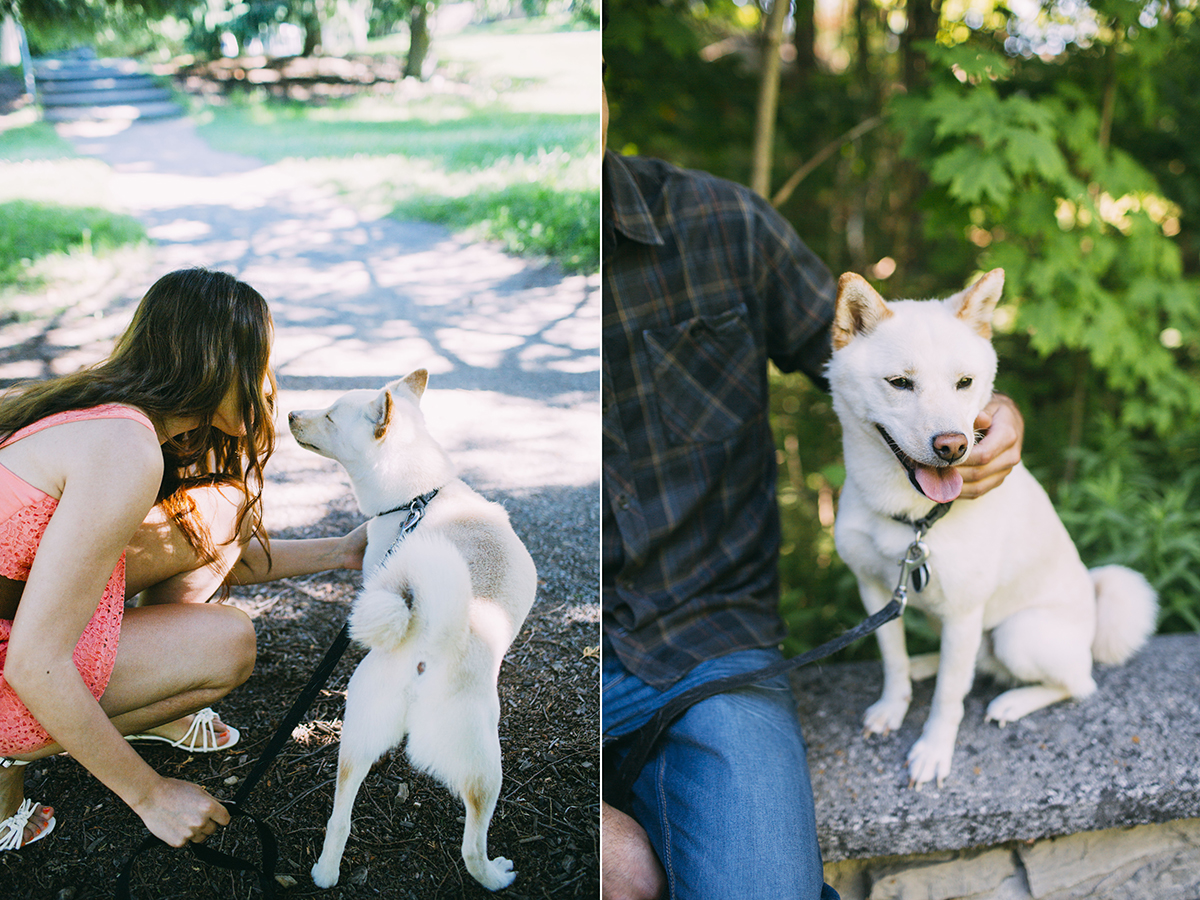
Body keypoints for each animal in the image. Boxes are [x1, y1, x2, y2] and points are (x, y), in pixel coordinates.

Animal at [285, 369, 535, 892]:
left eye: (331, 415)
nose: (291, 413)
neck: (416, 499)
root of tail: (427, 645)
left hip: (356, 736)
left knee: (340, 816)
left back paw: (326, 871)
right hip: (485, 769)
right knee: (471, 847)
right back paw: (496, 876)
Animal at [830, 267, 1156, 787]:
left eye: (965, 382)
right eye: (900, 383)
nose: (952, 446)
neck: (913, 518)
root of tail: (1091, 614)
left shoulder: (964, 614)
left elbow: (948, 698)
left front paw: (933, 752)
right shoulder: (875, 593)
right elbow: (892, 660)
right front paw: (893, 706)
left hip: (1016, 635)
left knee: (1077, 682)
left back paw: (1014, 701)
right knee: (970, 666)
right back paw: (927, 664)